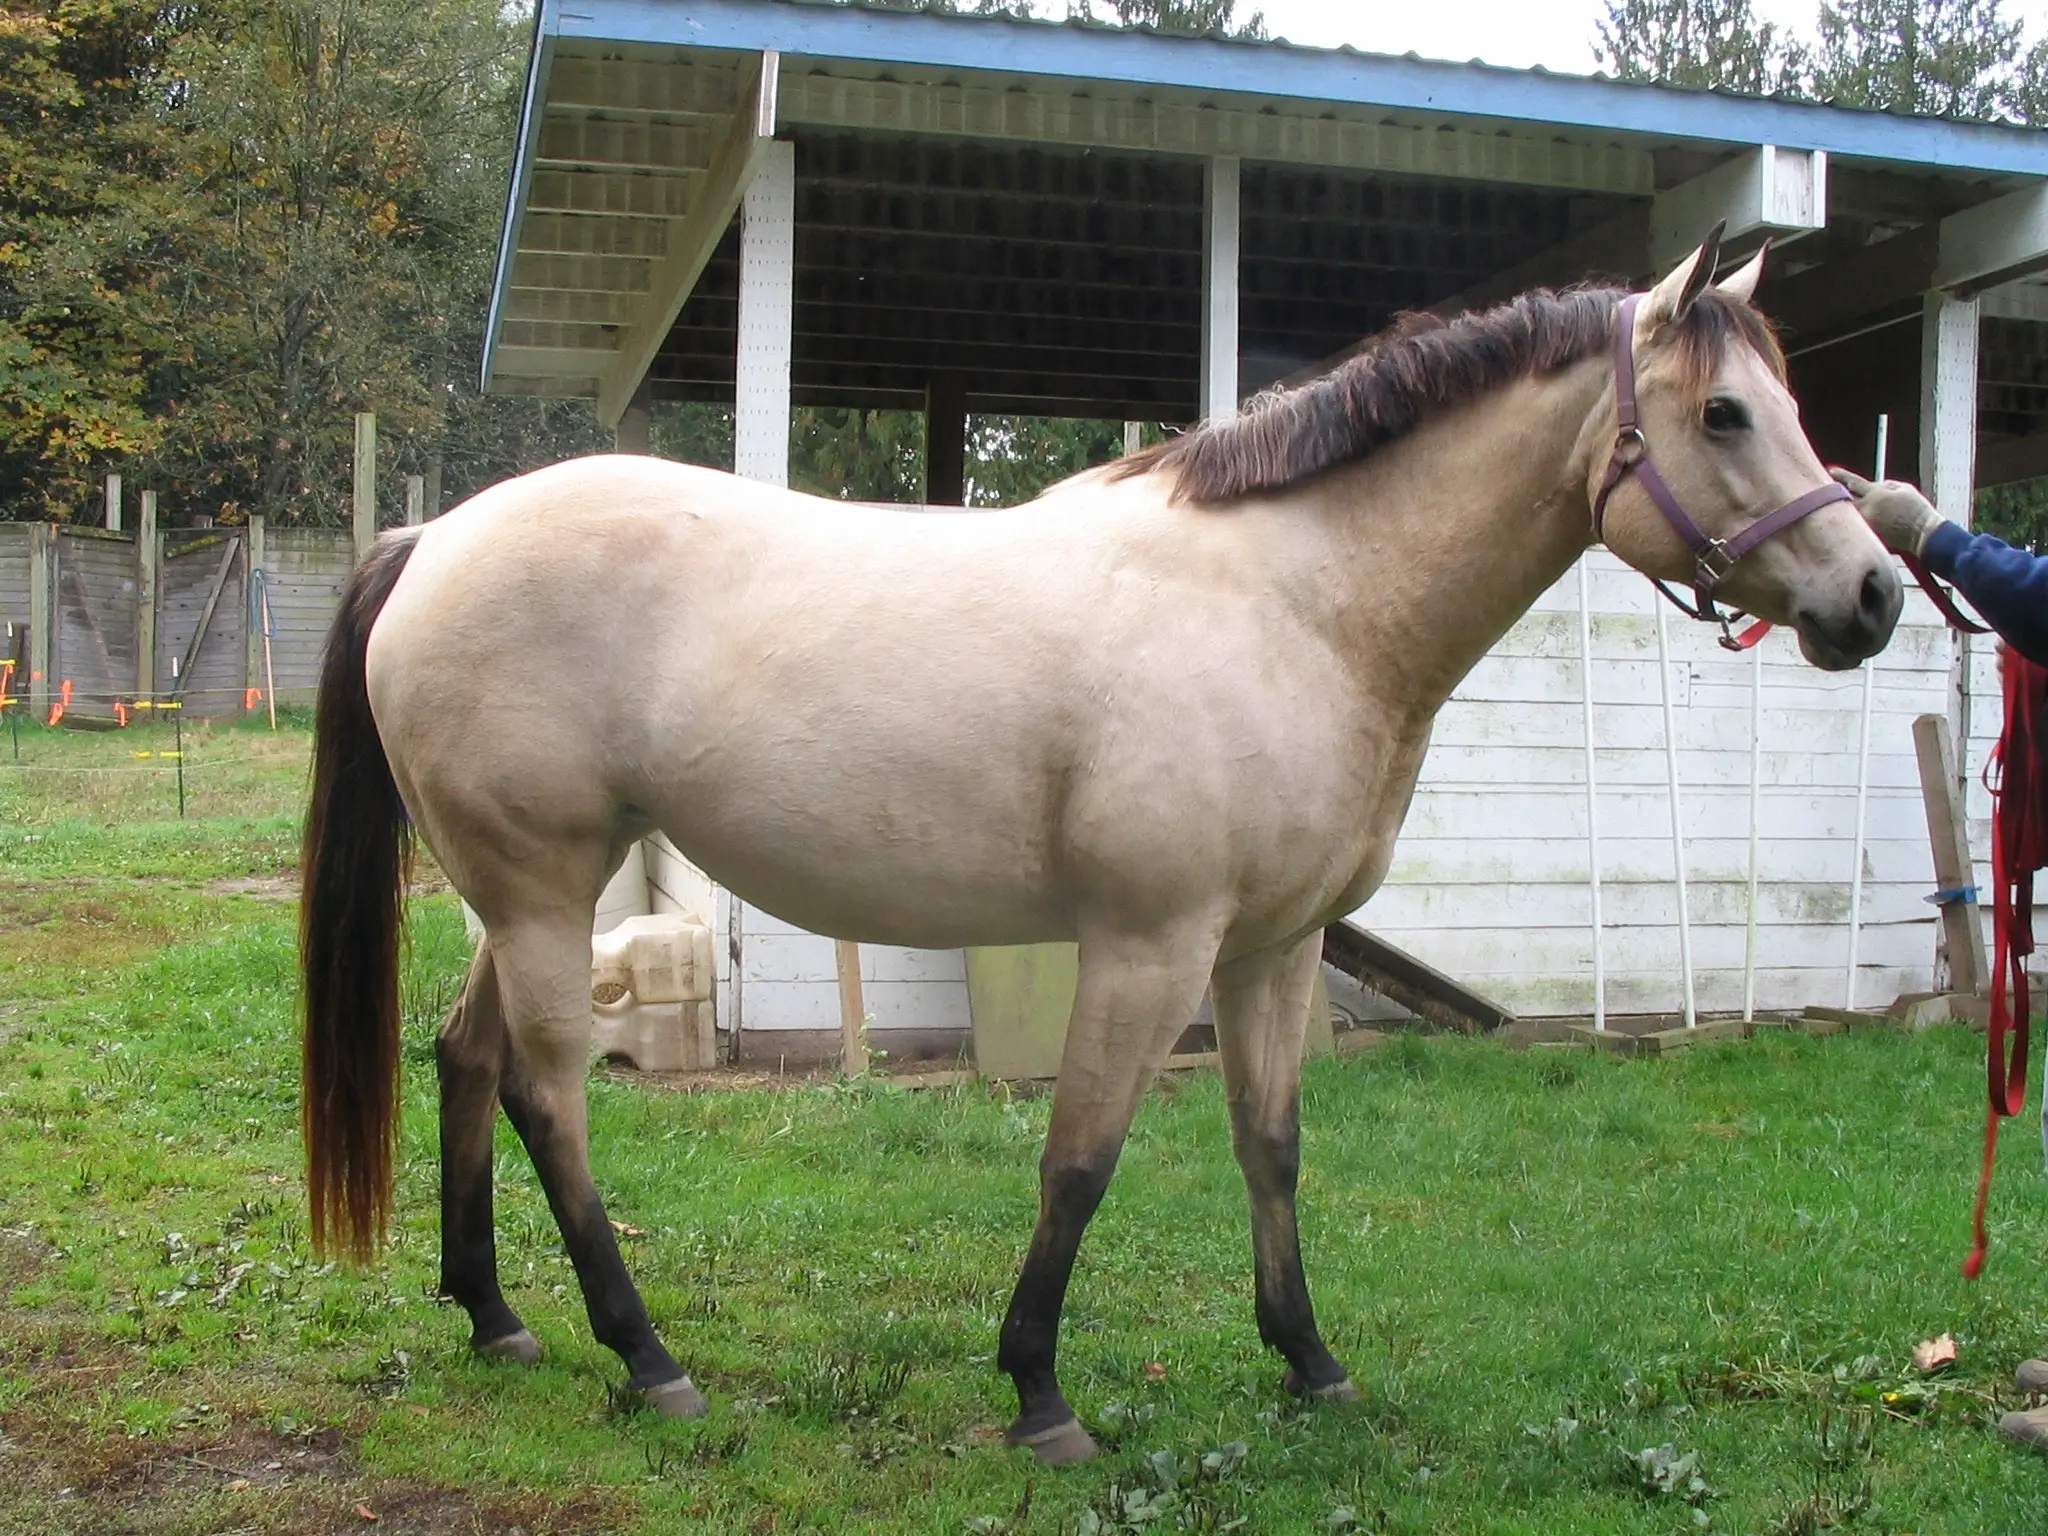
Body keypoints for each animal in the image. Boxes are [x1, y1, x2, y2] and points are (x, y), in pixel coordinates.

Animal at [299, 240, 1900, 1466]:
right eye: (1728, 414)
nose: (1876, 595)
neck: (1295, 603)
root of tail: (431, 538)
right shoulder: (1149, 945)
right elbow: (1080, 1161)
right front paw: (1039, 1393)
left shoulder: (1271, 948)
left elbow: (1271, 1144)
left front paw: (1309, 1361)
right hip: (540, 892)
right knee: (549, 1097)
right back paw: (645, 1357)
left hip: (525, 900)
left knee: (464, 1057)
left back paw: (495, 1317)